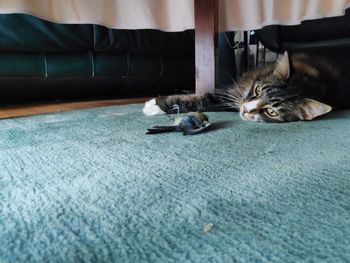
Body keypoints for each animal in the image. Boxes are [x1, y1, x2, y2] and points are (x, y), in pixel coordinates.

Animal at [142, 52, 350, 123]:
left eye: (271, 112)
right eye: (257, 91)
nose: (245, 110)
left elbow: (202, 100)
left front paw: (156, 105)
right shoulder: (233, 94)